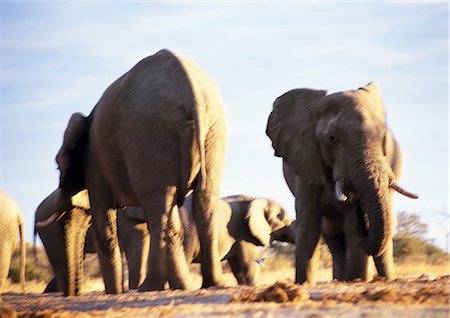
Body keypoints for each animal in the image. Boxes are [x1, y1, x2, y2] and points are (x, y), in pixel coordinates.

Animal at [268, 81, 418, 284]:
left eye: (384, 138)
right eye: (332, 139)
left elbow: (351, 226)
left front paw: (356, 279)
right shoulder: (306, 162)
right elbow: (309, 223)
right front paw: (303, 283)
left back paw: (383, 279)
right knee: (334, 238)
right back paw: (342, 279)